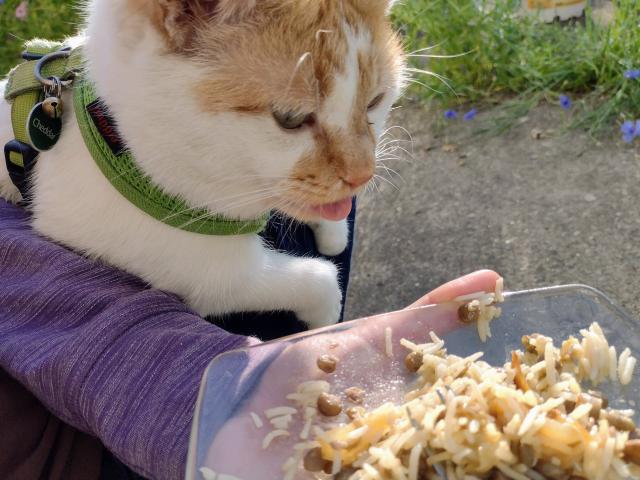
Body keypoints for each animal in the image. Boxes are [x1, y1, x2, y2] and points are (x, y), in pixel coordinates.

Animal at [0, 0, 404, 328]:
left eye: (375, 101)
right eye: (290, 119)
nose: (362, 175)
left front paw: (333, 230)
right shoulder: (213, 274)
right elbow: (319, 279)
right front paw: (325, 317)